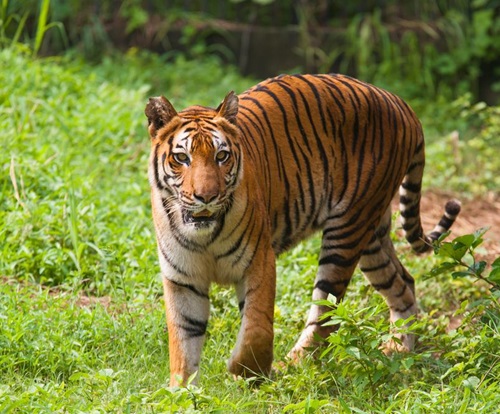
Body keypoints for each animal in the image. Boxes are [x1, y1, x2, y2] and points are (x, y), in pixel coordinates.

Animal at [145, 73, 460, 386]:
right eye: (182, 158)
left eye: (221, 156)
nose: (207, 197)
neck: (203, 237)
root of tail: (400, 103)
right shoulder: (182, 279)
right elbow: (183, 341)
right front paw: (182, 391)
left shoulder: (259, 261)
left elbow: (257, 327)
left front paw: (246, 370)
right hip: (372, 236)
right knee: (403, 282)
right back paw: (399, 348)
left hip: (347, 231)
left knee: (325, 314)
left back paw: (292, 365)